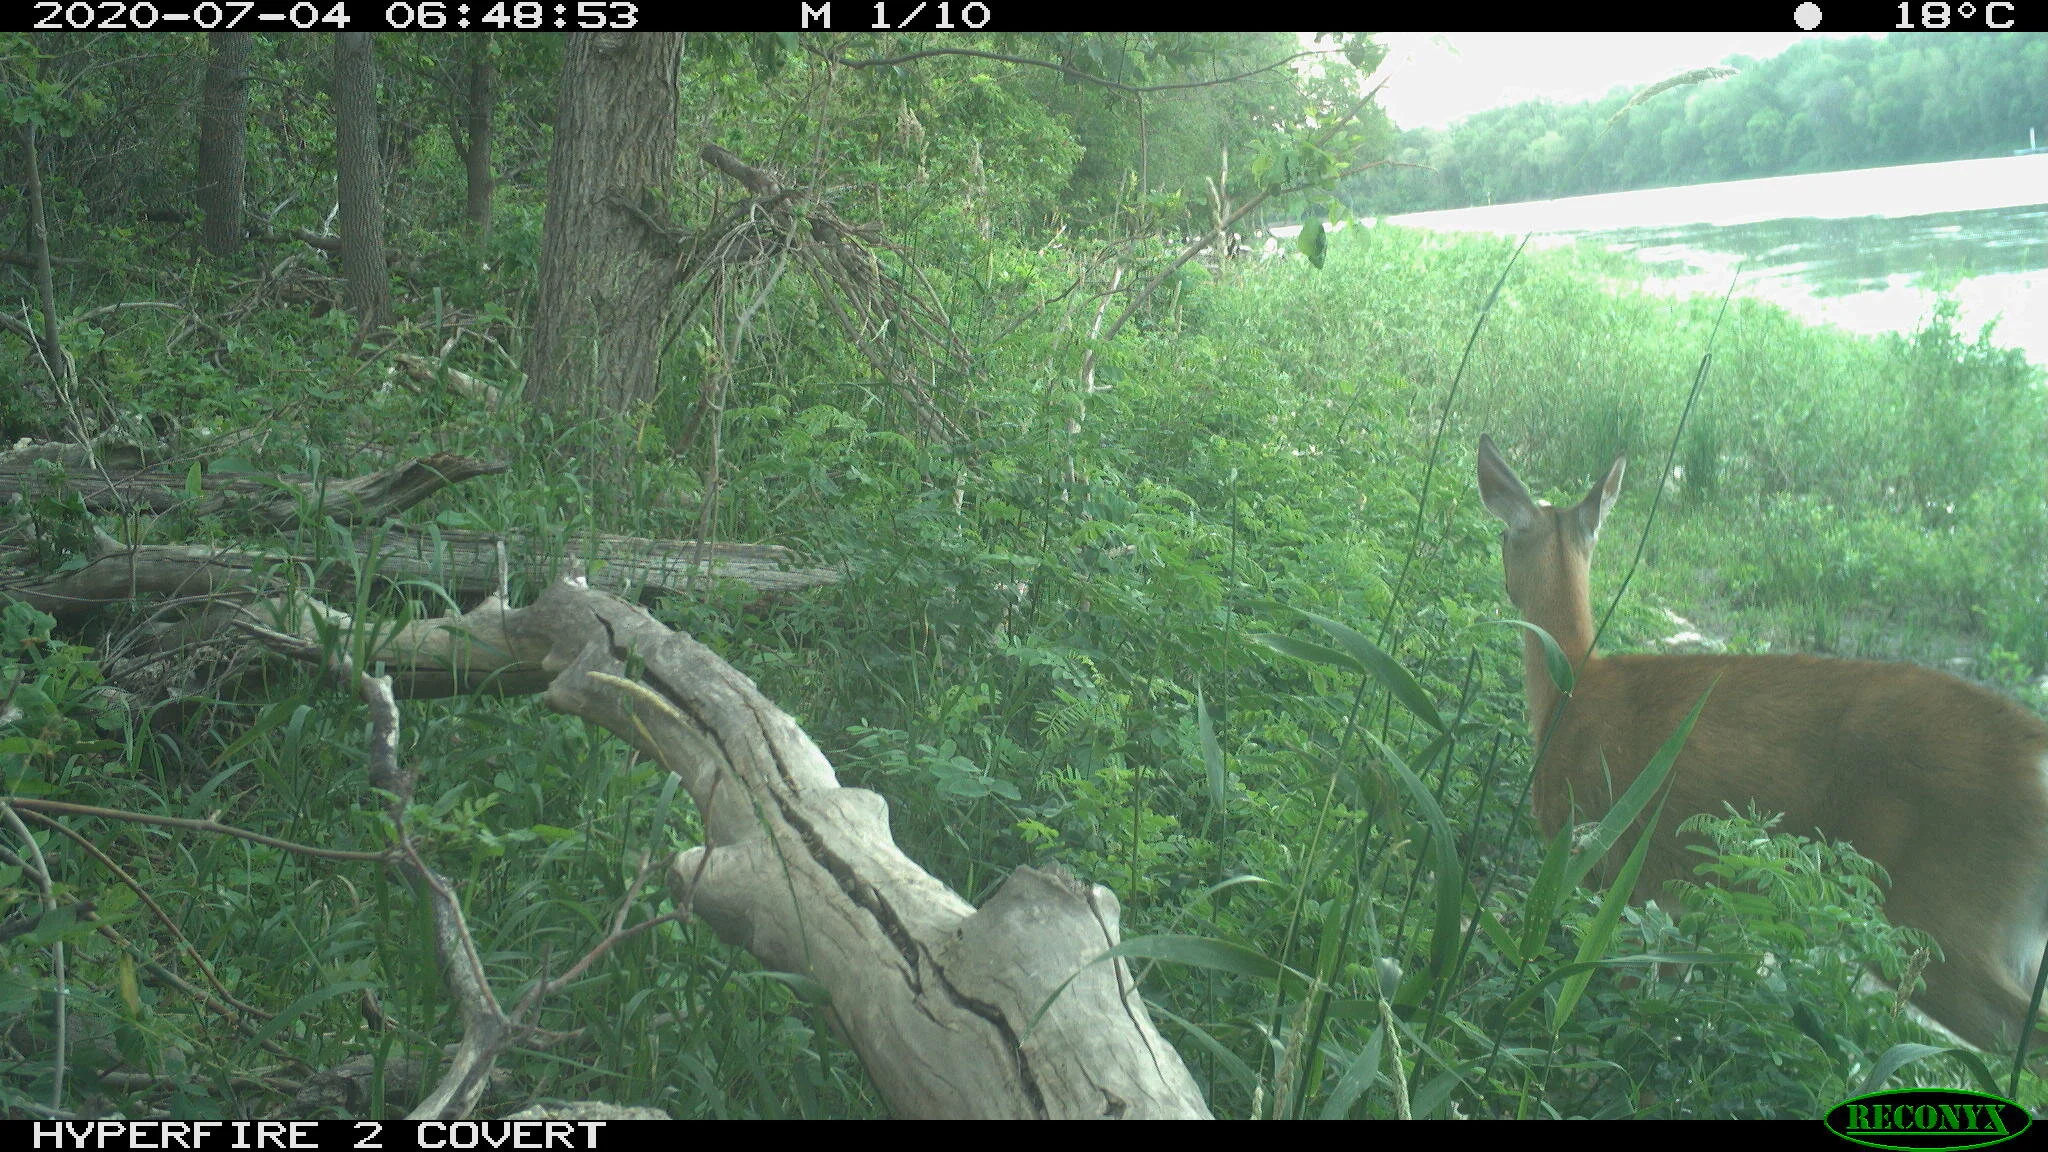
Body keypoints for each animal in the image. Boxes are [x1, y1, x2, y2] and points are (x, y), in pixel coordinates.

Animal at [1475, 433, 2048, 1059]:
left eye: (1502, 538)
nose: (1503, 580)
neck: (1571, 686)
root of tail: (2034, 748)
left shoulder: (1599, 852)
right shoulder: (1674, 894)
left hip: (1941, 910)